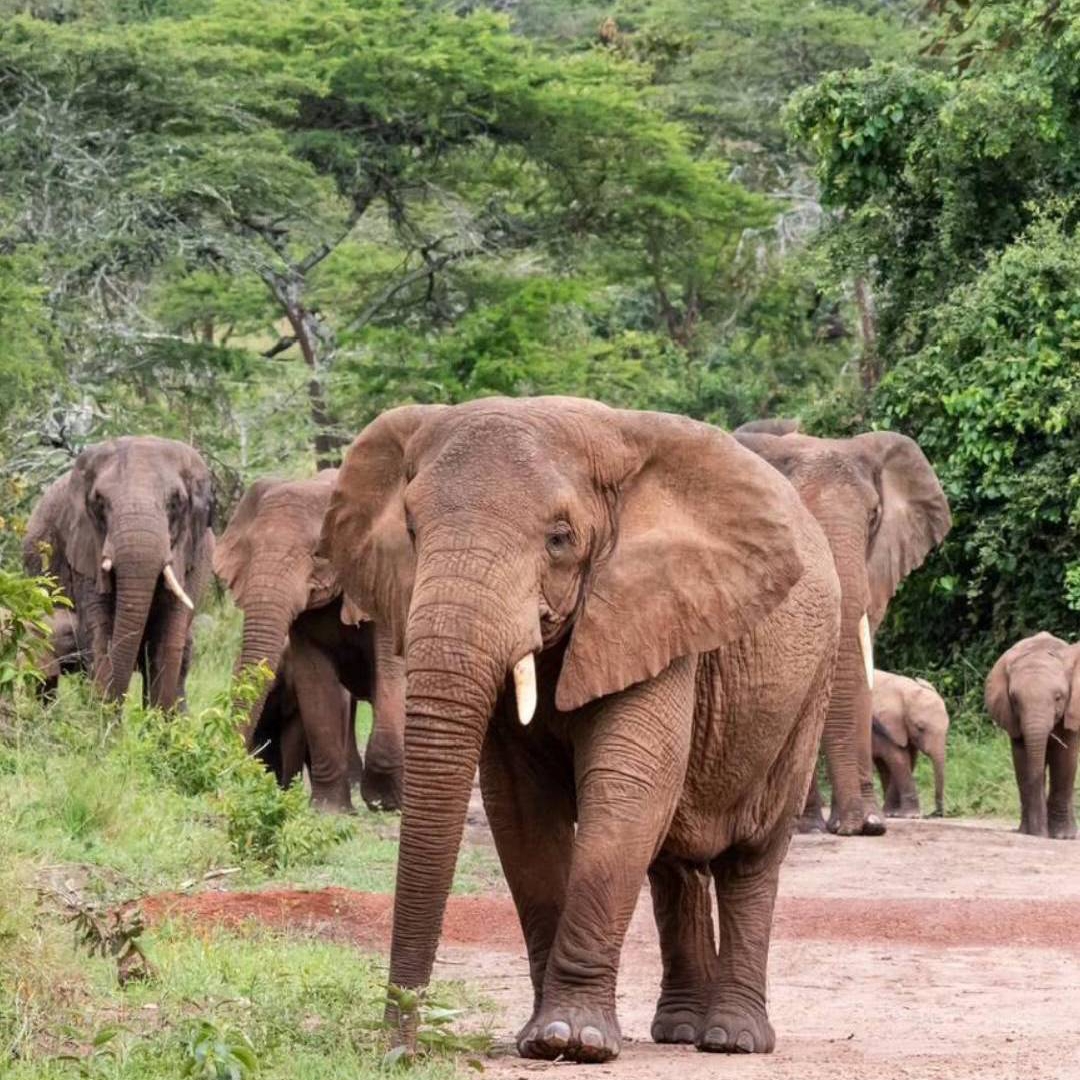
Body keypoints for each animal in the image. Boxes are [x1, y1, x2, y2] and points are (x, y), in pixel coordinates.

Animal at [22, 436, 214, 709]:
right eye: (100, 503)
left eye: (175, 503)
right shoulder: (85, 547)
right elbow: (101, 632)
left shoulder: (191, 557)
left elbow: (167, 641)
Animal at [213, 470, 405, 813]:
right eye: (249, 551)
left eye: (318, 555)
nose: (229, 774)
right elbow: (315, 684)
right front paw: (330, 811)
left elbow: (391, 673)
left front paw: (384, 801)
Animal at [321, 396, 842, 1062]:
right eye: (411, 531)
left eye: (559, 539)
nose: (400, 1049)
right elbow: (522, 811)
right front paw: (543, 1039)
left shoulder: (654, 612)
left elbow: (627, 789)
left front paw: (575, 1040)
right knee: (673, 860)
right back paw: (679, 1031)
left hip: (810, 688)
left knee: (752, 854)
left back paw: (732, 1040)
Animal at [871, 669, 949, 818]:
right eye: (920, 728)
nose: (934, 814)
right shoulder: (884, 725)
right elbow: (899, 759)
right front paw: (912, 816)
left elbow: (910, 760)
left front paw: (892, 813)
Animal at [985, 632, 1079, 839]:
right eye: (1014, 700)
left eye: (1058, 698)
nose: (1041, 833)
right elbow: (1022, 760)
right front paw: (1031, 833)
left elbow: (1064, 759)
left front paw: (1060, 836)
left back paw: (1069, 835)